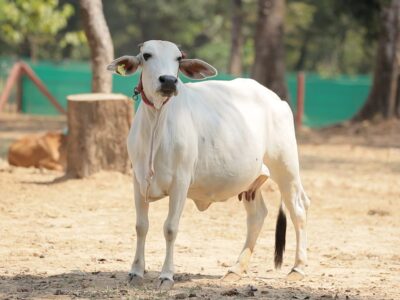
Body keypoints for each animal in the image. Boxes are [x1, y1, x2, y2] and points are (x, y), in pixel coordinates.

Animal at [107, 39, 310, 288]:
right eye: (147, 55)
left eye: (178, 58)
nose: (168, 81)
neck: (157, 121)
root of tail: (277, 100)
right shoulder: (138, 180)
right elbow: (141, 226)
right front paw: (136, 272)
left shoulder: (180, 182)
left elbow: (170, 228)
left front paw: (166, 276)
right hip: (251, 182)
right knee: (257, 215)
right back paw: (236, 269)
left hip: (286, 168)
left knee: (298, 209)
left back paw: (298, 267)